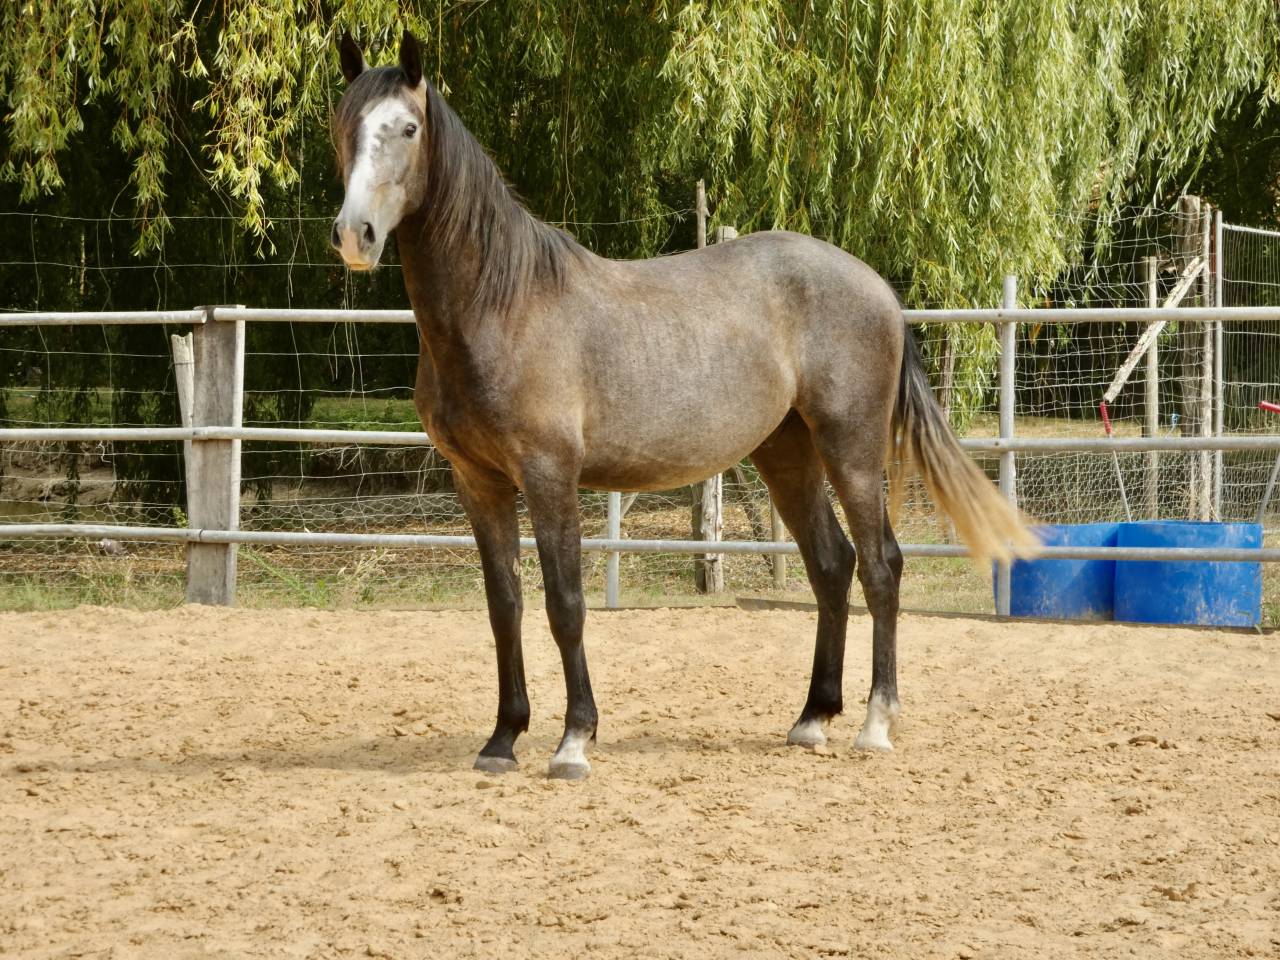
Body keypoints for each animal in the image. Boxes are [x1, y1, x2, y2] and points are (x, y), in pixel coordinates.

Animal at [329, 31, 1034, 779]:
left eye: (407, 128)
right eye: (343, 126)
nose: (354, 235)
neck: (503, 306)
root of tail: (879, 288)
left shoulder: (549, 476)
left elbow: (565, 604)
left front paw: (574, 741)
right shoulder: (478, 482)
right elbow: (504, 606)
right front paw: (501, 740)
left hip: (852, 446)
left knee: (880, 565)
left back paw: (875, 723)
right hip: (786, 453)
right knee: (830, 564)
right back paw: (813, 718)